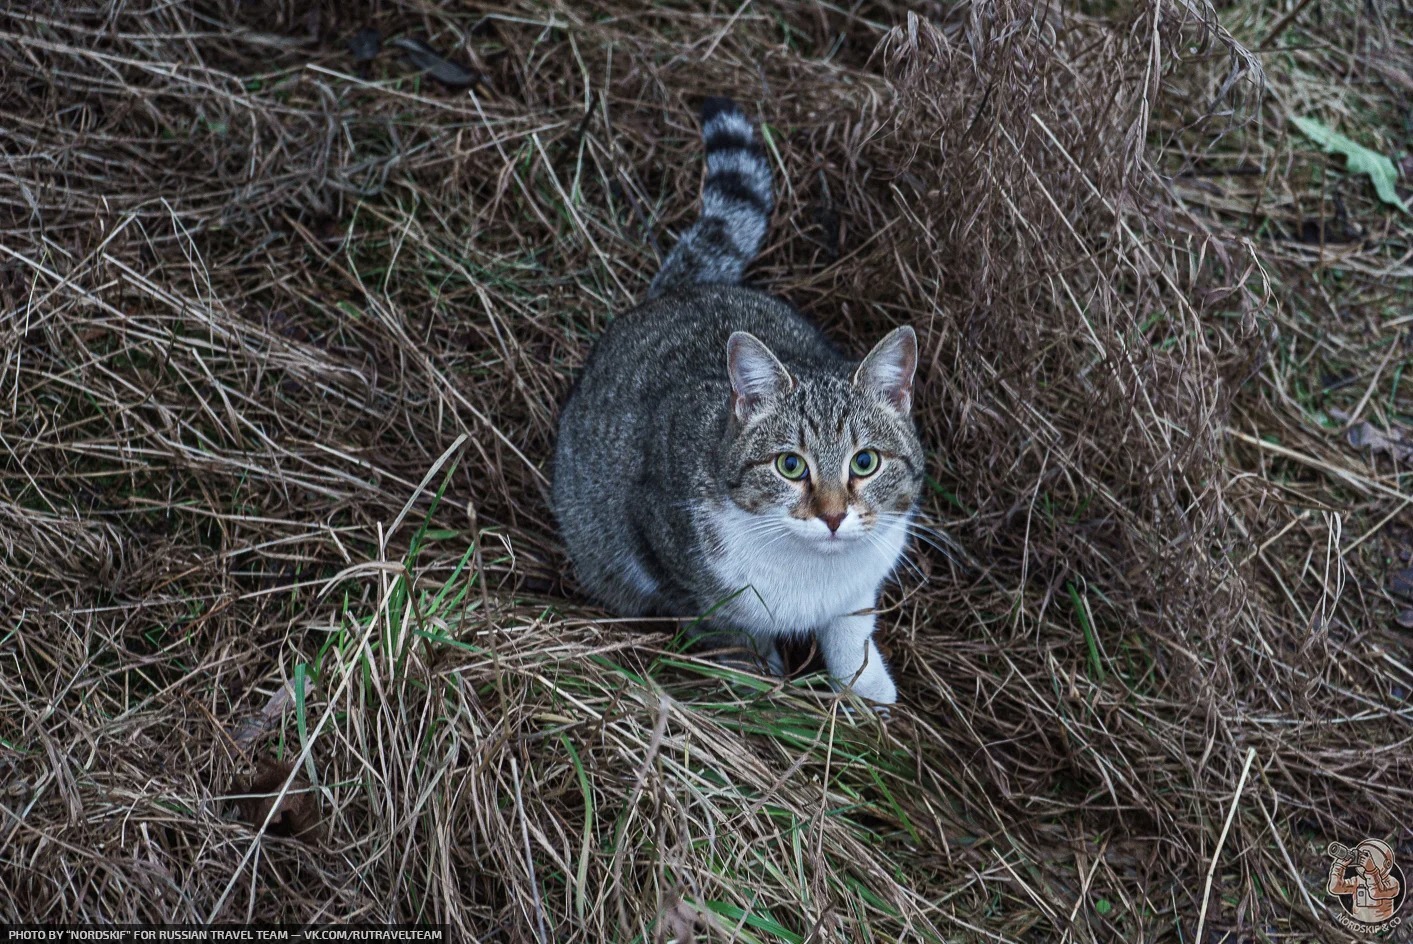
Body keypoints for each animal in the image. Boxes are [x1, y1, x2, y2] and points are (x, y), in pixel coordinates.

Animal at [551, 96, 926, 703]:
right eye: (790, 465)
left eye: (865, 462)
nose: (833, 516)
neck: (812, 570)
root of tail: (680, 291)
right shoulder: (665, 552)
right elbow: (727, 632)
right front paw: (755, 685)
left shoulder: (863, 578)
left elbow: (851, 627)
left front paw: (866, 687)